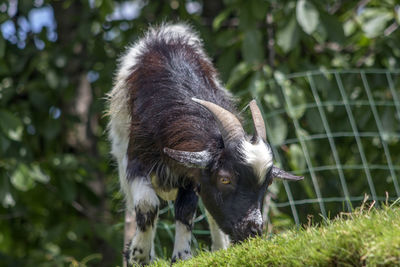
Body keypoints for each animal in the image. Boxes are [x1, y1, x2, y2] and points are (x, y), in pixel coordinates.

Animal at [107, 23, 304, 266]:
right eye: (225, 179)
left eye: (268, 183)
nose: (253, 231)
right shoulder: (135, 160)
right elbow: (147, 205)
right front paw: (139, 256)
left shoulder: (193, 175)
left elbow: (186, 211)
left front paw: (182, 257)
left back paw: (220, 247)